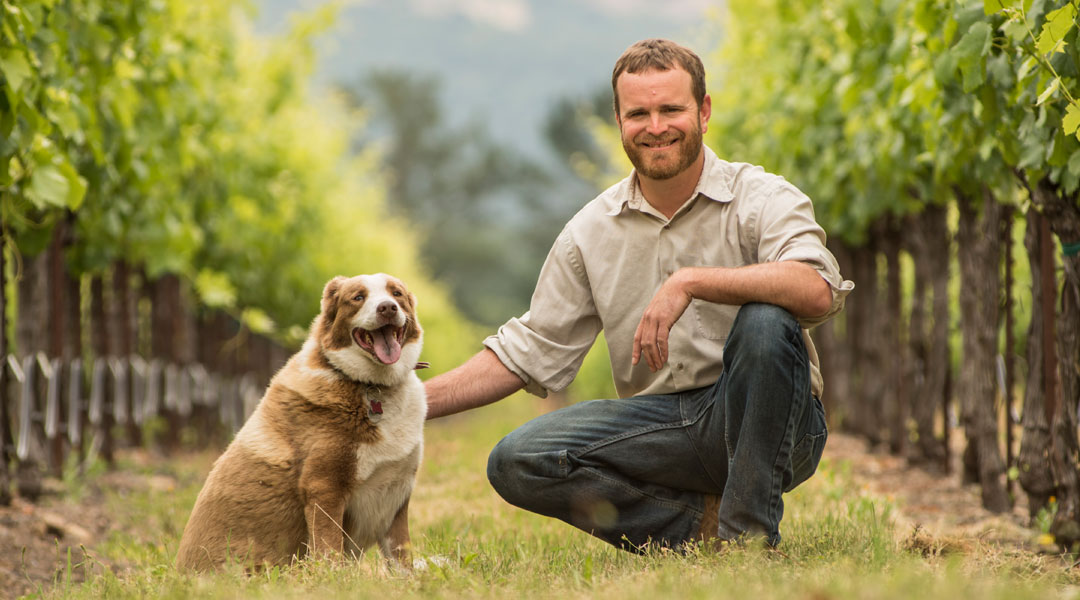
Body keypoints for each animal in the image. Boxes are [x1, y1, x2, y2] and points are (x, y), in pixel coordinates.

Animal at [177, 274, 425, 569]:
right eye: (358, 297)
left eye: (396, 293)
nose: (387, 308)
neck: (371, 386)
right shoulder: (324, 488)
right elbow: (329, 551)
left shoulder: (396, 496)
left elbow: (403, 560)